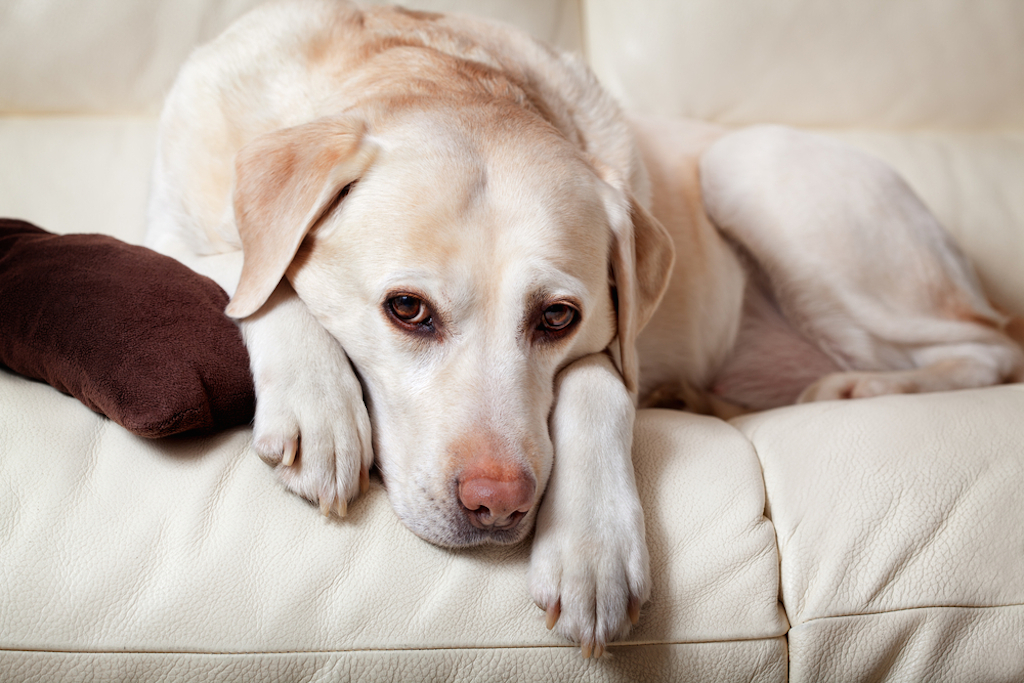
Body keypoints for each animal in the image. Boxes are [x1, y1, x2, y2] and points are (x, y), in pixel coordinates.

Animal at [146, 0, 1024, 659]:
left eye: (557, 317)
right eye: (406, 309)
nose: (497, 505)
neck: (428, 66)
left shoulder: (608, 339)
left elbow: (602, 385)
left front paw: (591, 549)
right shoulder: (169, 225)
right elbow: (248, 270)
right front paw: (320, 406)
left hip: (758, 170)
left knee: (988, 347)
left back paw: (854, 385)